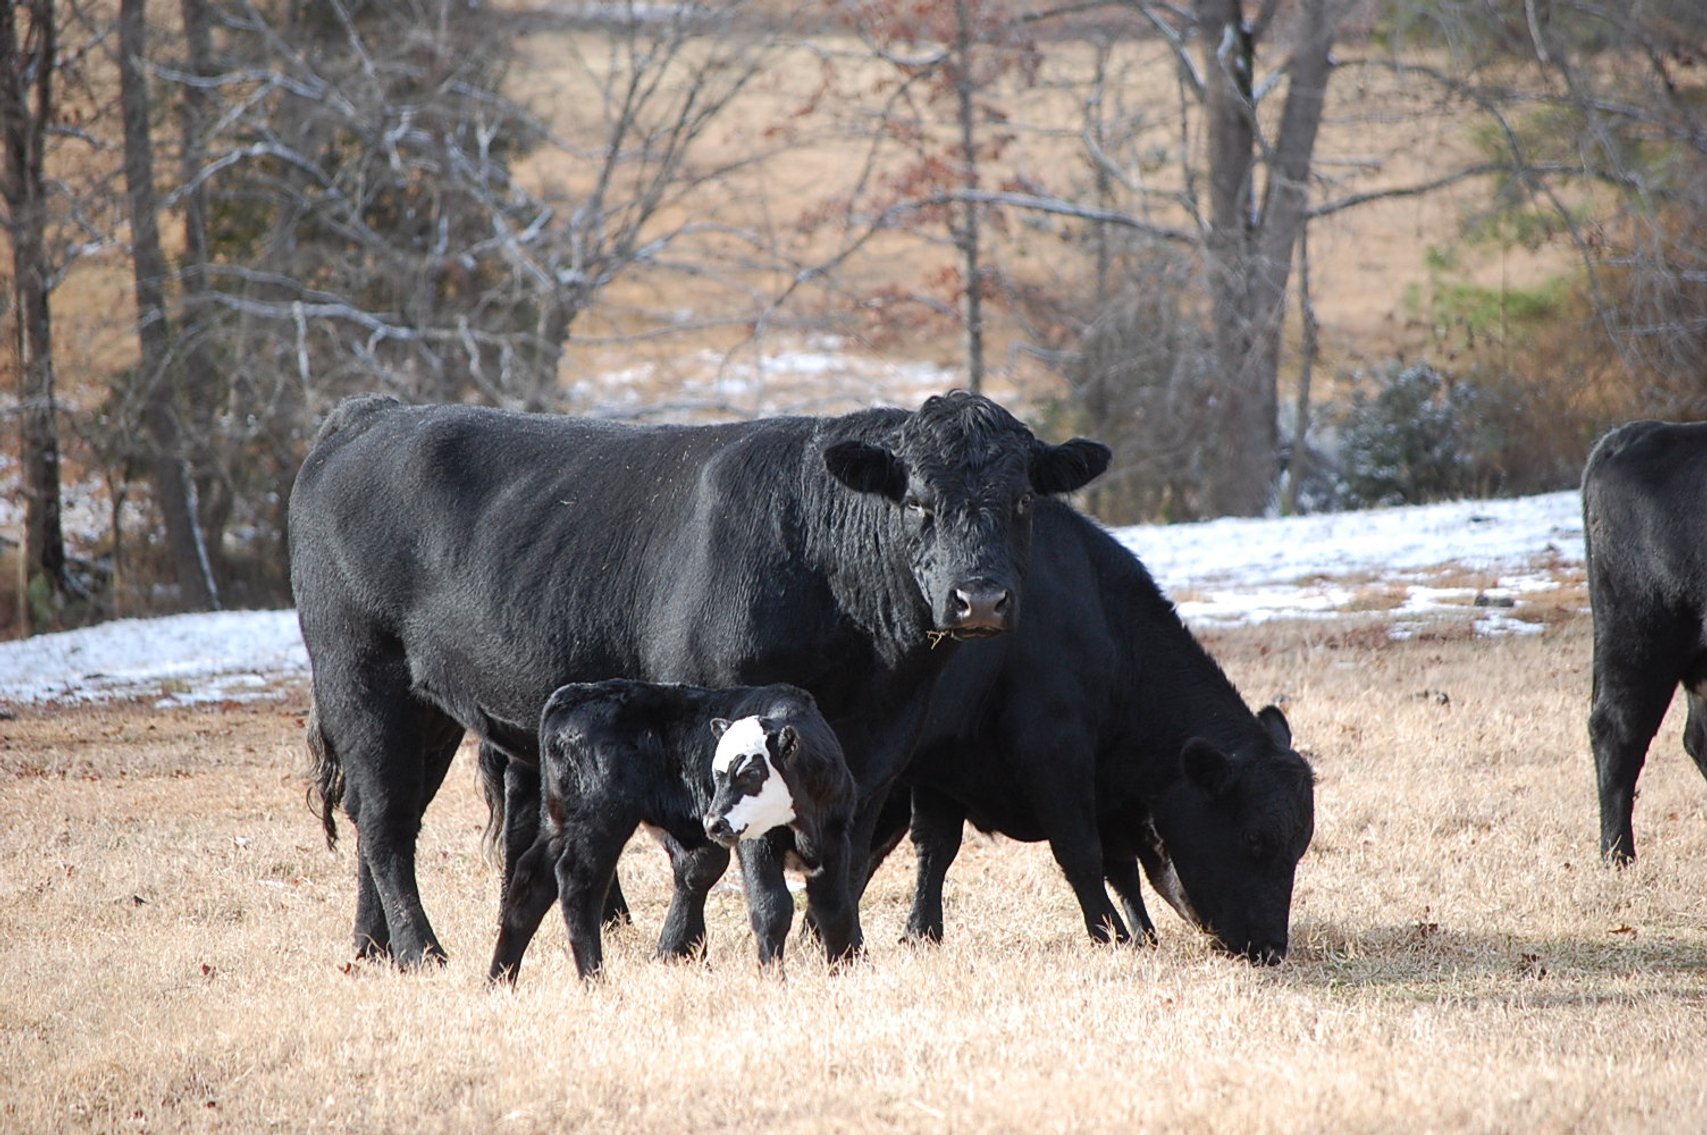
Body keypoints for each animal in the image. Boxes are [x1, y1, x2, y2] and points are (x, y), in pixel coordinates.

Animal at [489, 680, 855, 983]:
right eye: (717, 773)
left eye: (751, 773)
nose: (712, 823)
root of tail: (572, 694)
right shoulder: (756, 841)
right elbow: (772, 907)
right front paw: (773, 981)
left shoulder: (836, 838)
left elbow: (835, 909)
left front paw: (845, 972)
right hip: (598, 821)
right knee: (578, 883)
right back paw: (595, 981)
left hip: (559, 820)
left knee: (531, 880)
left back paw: (500, 981)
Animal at [863, 498, 1316, 964]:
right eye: (1254, 838)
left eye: (1301, 846)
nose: (1272, 947)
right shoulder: (1054, 748)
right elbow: (1079, 851)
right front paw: (1109, 932)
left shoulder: (948, 767)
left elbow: (937, 847)